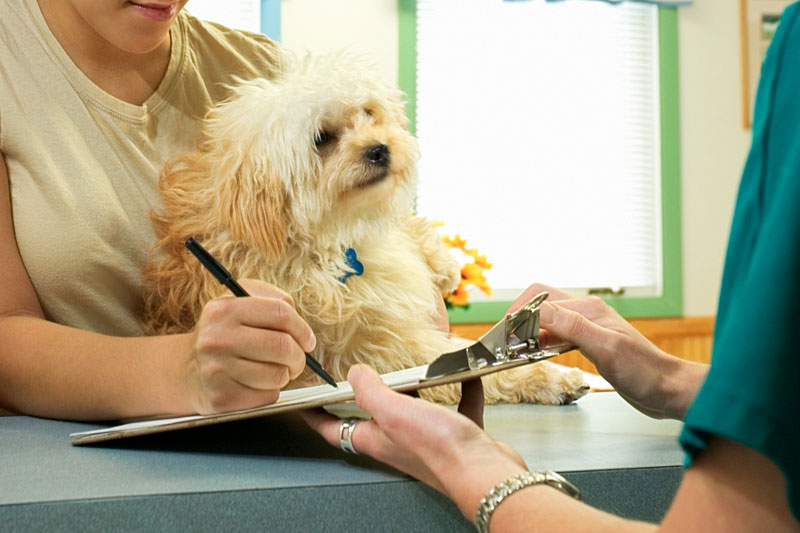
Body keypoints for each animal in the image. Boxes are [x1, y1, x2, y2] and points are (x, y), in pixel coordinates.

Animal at [141, 52, 588, 406]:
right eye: (322, 138)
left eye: (369, 113)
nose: (380, 149)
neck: (330, 240)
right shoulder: (379, 345)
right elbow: (475, 361)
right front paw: (551, 376)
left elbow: (408, 228)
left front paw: (443, 264)